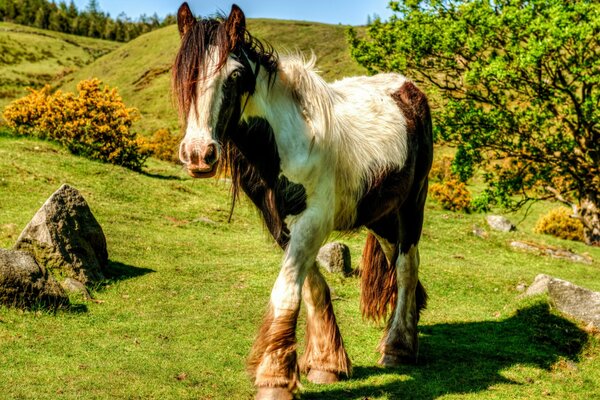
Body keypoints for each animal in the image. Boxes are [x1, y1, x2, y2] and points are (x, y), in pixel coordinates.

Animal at [172, 2, 432, 396]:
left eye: (235, 75)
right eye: (184, 72)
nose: (199, 155)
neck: (287, 141)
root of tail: (408, 88)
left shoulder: (313, 221)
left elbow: (287, 290)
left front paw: (275, 377)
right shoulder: (281, 223)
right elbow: (311, 287)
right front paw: (326, 363)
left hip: (411, 205)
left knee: (405, 266)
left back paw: (398, 348)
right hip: (381, 215)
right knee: (396, 264)